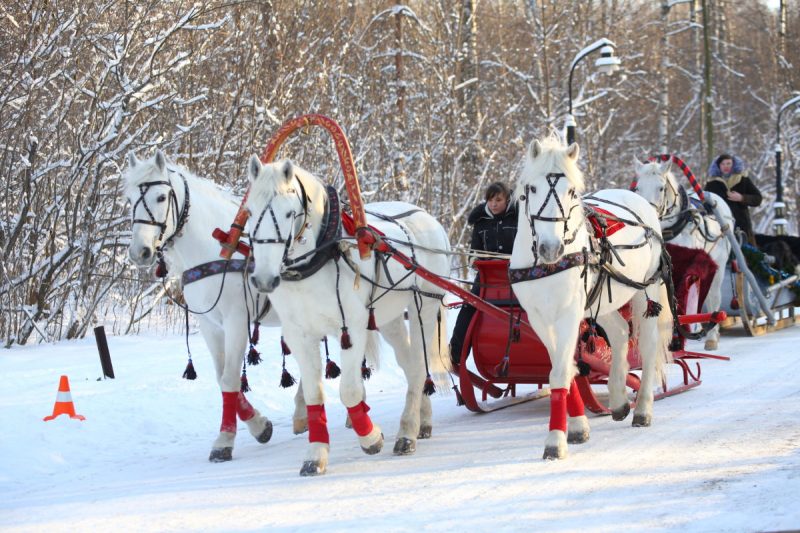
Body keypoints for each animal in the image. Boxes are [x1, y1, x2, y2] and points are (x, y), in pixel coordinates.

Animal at [125, 150, 304, 462]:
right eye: (129, 198)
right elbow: (222, 378)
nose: (140, 252)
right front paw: (259, 425)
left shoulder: (236, 321)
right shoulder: (210, 324)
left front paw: (225, 440)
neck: (218, 251)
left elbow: (231, 378)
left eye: (161, 197)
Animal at [245, 156, 450, 476]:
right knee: (409, 365)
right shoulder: (299, 334)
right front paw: (316, 454)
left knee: (419, 365)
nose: (264, 279)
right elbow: (315, 395)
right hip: (389, 318)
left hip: (424, 307)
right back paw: (422, 421)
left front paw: (371, 438)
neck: (319, 259)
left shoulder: (352, 327)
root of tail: (428, 217)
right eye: (250, 211)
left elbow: (351, 391)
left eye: (289, 213)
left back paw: (407, 432)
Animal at [510, 137, 672, 458]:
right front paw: (577, 426)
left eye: (571, 191)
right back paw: (619, 398)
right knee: (620, 334)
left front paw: (556, 439)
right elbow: (567, 369)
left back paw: (642, 408)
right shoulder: (538, 318)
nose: (550, 248)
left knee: (647, 346)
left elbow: (560, 372)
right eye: (531, 189)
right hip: (603, 300)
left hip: (645, 289)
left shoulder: (569, 313)